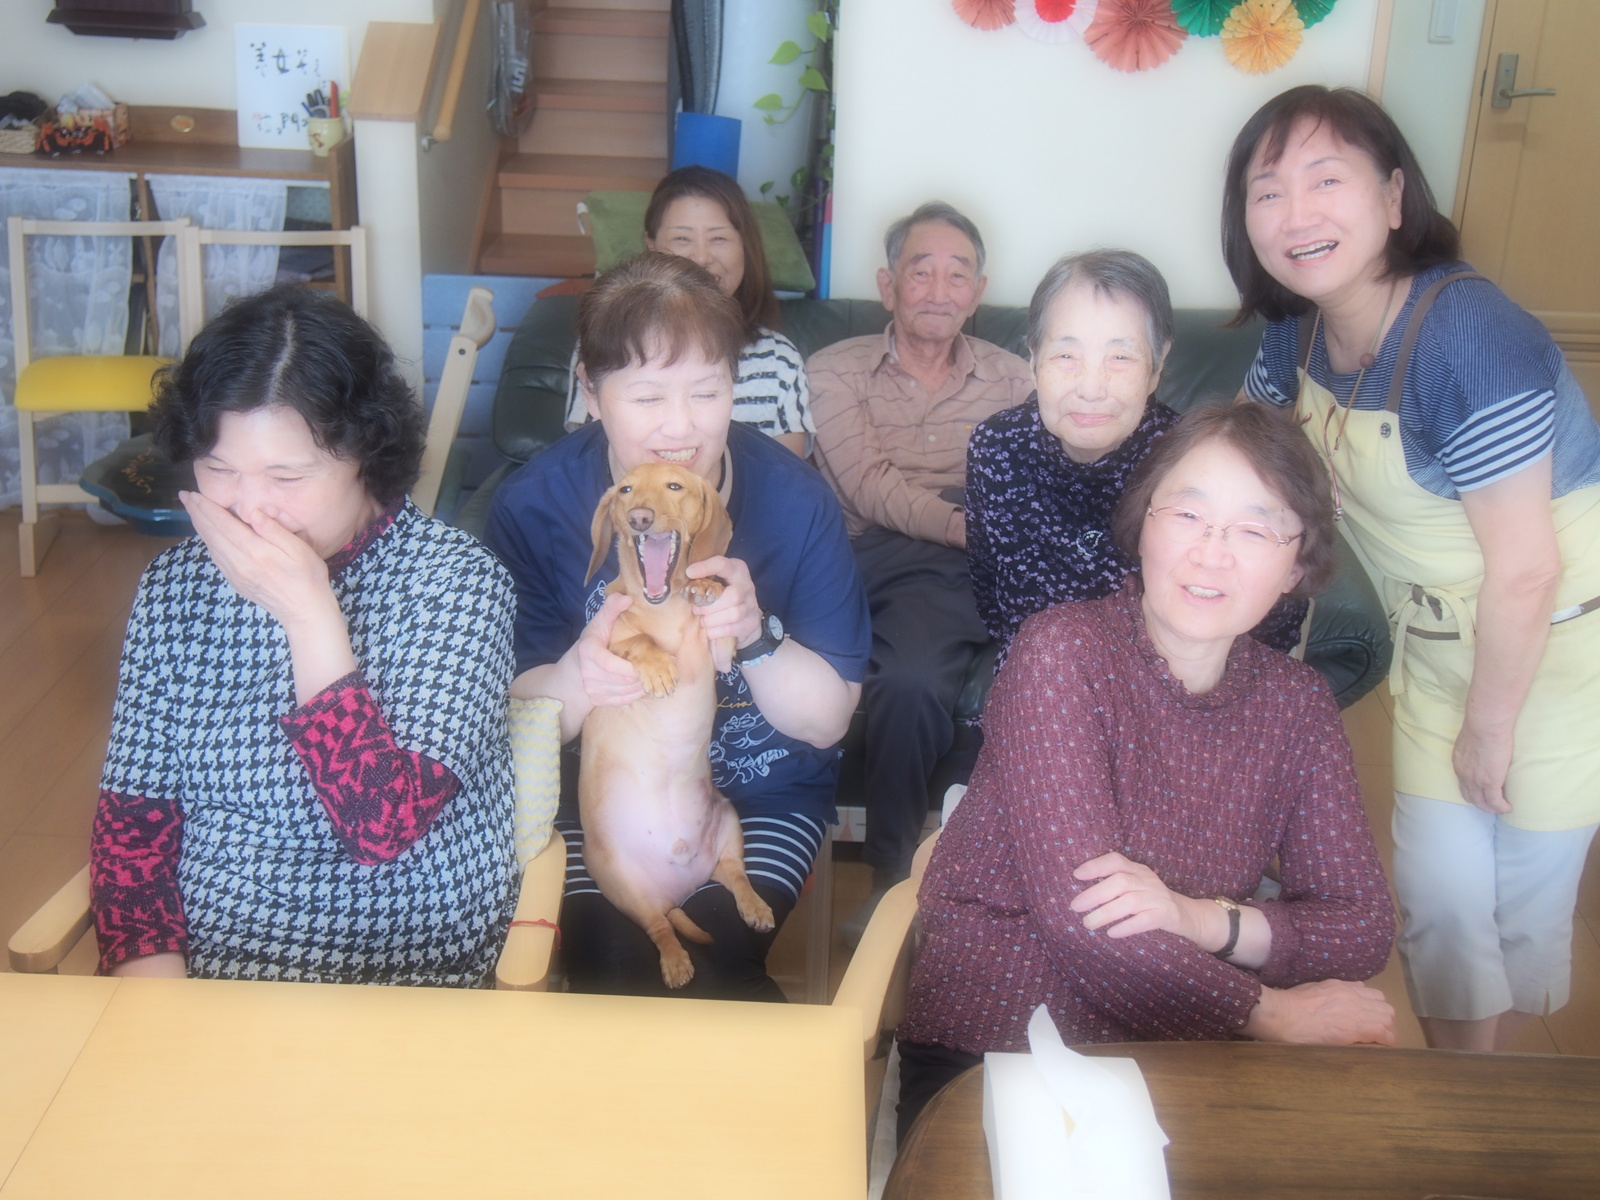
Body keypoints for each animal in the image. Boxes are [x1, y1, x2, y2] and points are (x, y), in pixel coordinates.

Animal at [579, 462, 775, 988]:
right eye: (625, 490)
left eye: (675, 485)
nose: (640, 519)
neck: (663, 609)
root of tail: (680, 889)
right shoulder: (604, 640)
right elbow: (631, 638)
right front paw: (656, 665)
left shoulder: (718, 641)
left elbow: (725, 623)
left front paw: (709, 590)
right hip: (620, 884)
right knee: (658, 927)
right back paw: (676, 962)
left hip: (729, 824)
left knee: (734, 875)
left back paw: (754, 907)